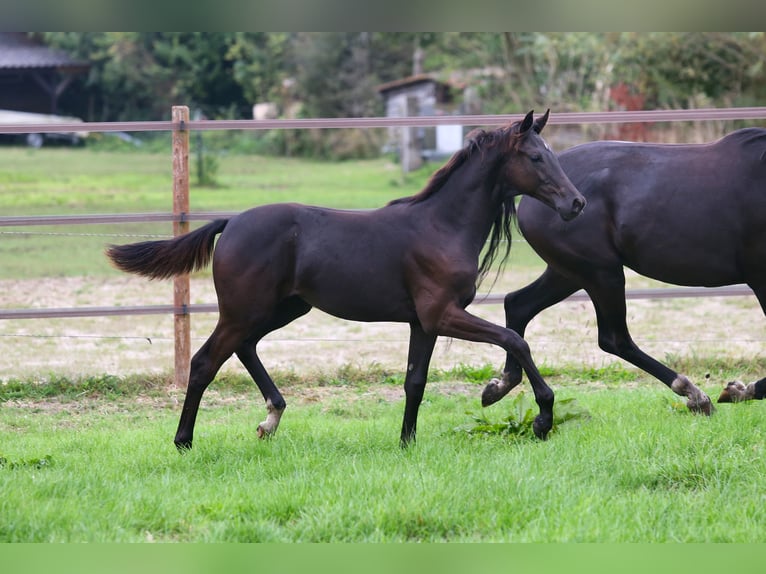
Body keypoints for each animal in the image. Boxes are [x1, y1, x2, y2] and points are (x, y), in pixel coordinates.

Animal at [106, 111, 588, 450]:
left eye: (551, 154)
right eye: (535, 156)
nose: (576, 204)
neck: (441, 225)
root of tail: (232, 222)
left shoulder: (423, 322)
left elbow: (415, 382)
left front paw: (406, 442)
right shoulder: (443, 314)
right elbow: (514, 339)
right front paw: (526, 408)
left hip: (282, 308)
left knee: (244, 348)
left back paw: (270, 419)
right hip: (245, 310)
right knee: (206, 361)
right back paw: (184, 440)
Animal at [484, 127, 766, 414]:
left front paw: (738, 389)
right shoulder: (760, 278)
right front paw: (739, 390)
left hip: (569, 273)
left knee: (517, 304)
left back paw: (500, 385)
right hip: (601, 272)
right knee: (614, 339)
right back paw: (695, 394)